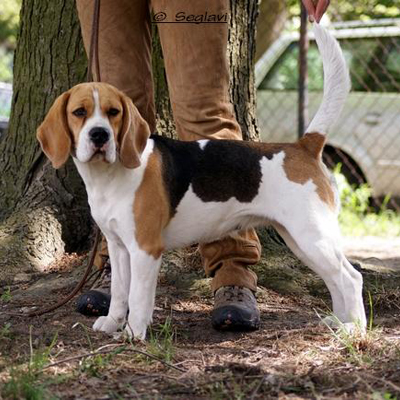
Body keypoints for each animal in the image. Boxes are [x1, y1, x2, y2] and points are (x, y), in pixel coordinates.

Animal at [36, 24, 366, 338]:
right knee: (334, 279)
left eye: (113, 112)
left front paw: (133, 333)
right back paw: (339, 322)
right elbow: (119, 292)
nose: (100, 135)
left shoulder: (145, 248)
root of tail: (303, 146)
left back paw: (356, 329)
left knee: (351, 278)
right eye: (79, 112)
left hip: (312, 235)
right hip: (300, 240)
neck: (110, 176)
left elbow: (139, 297)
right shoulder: (118, 248)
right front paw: (112, 323)